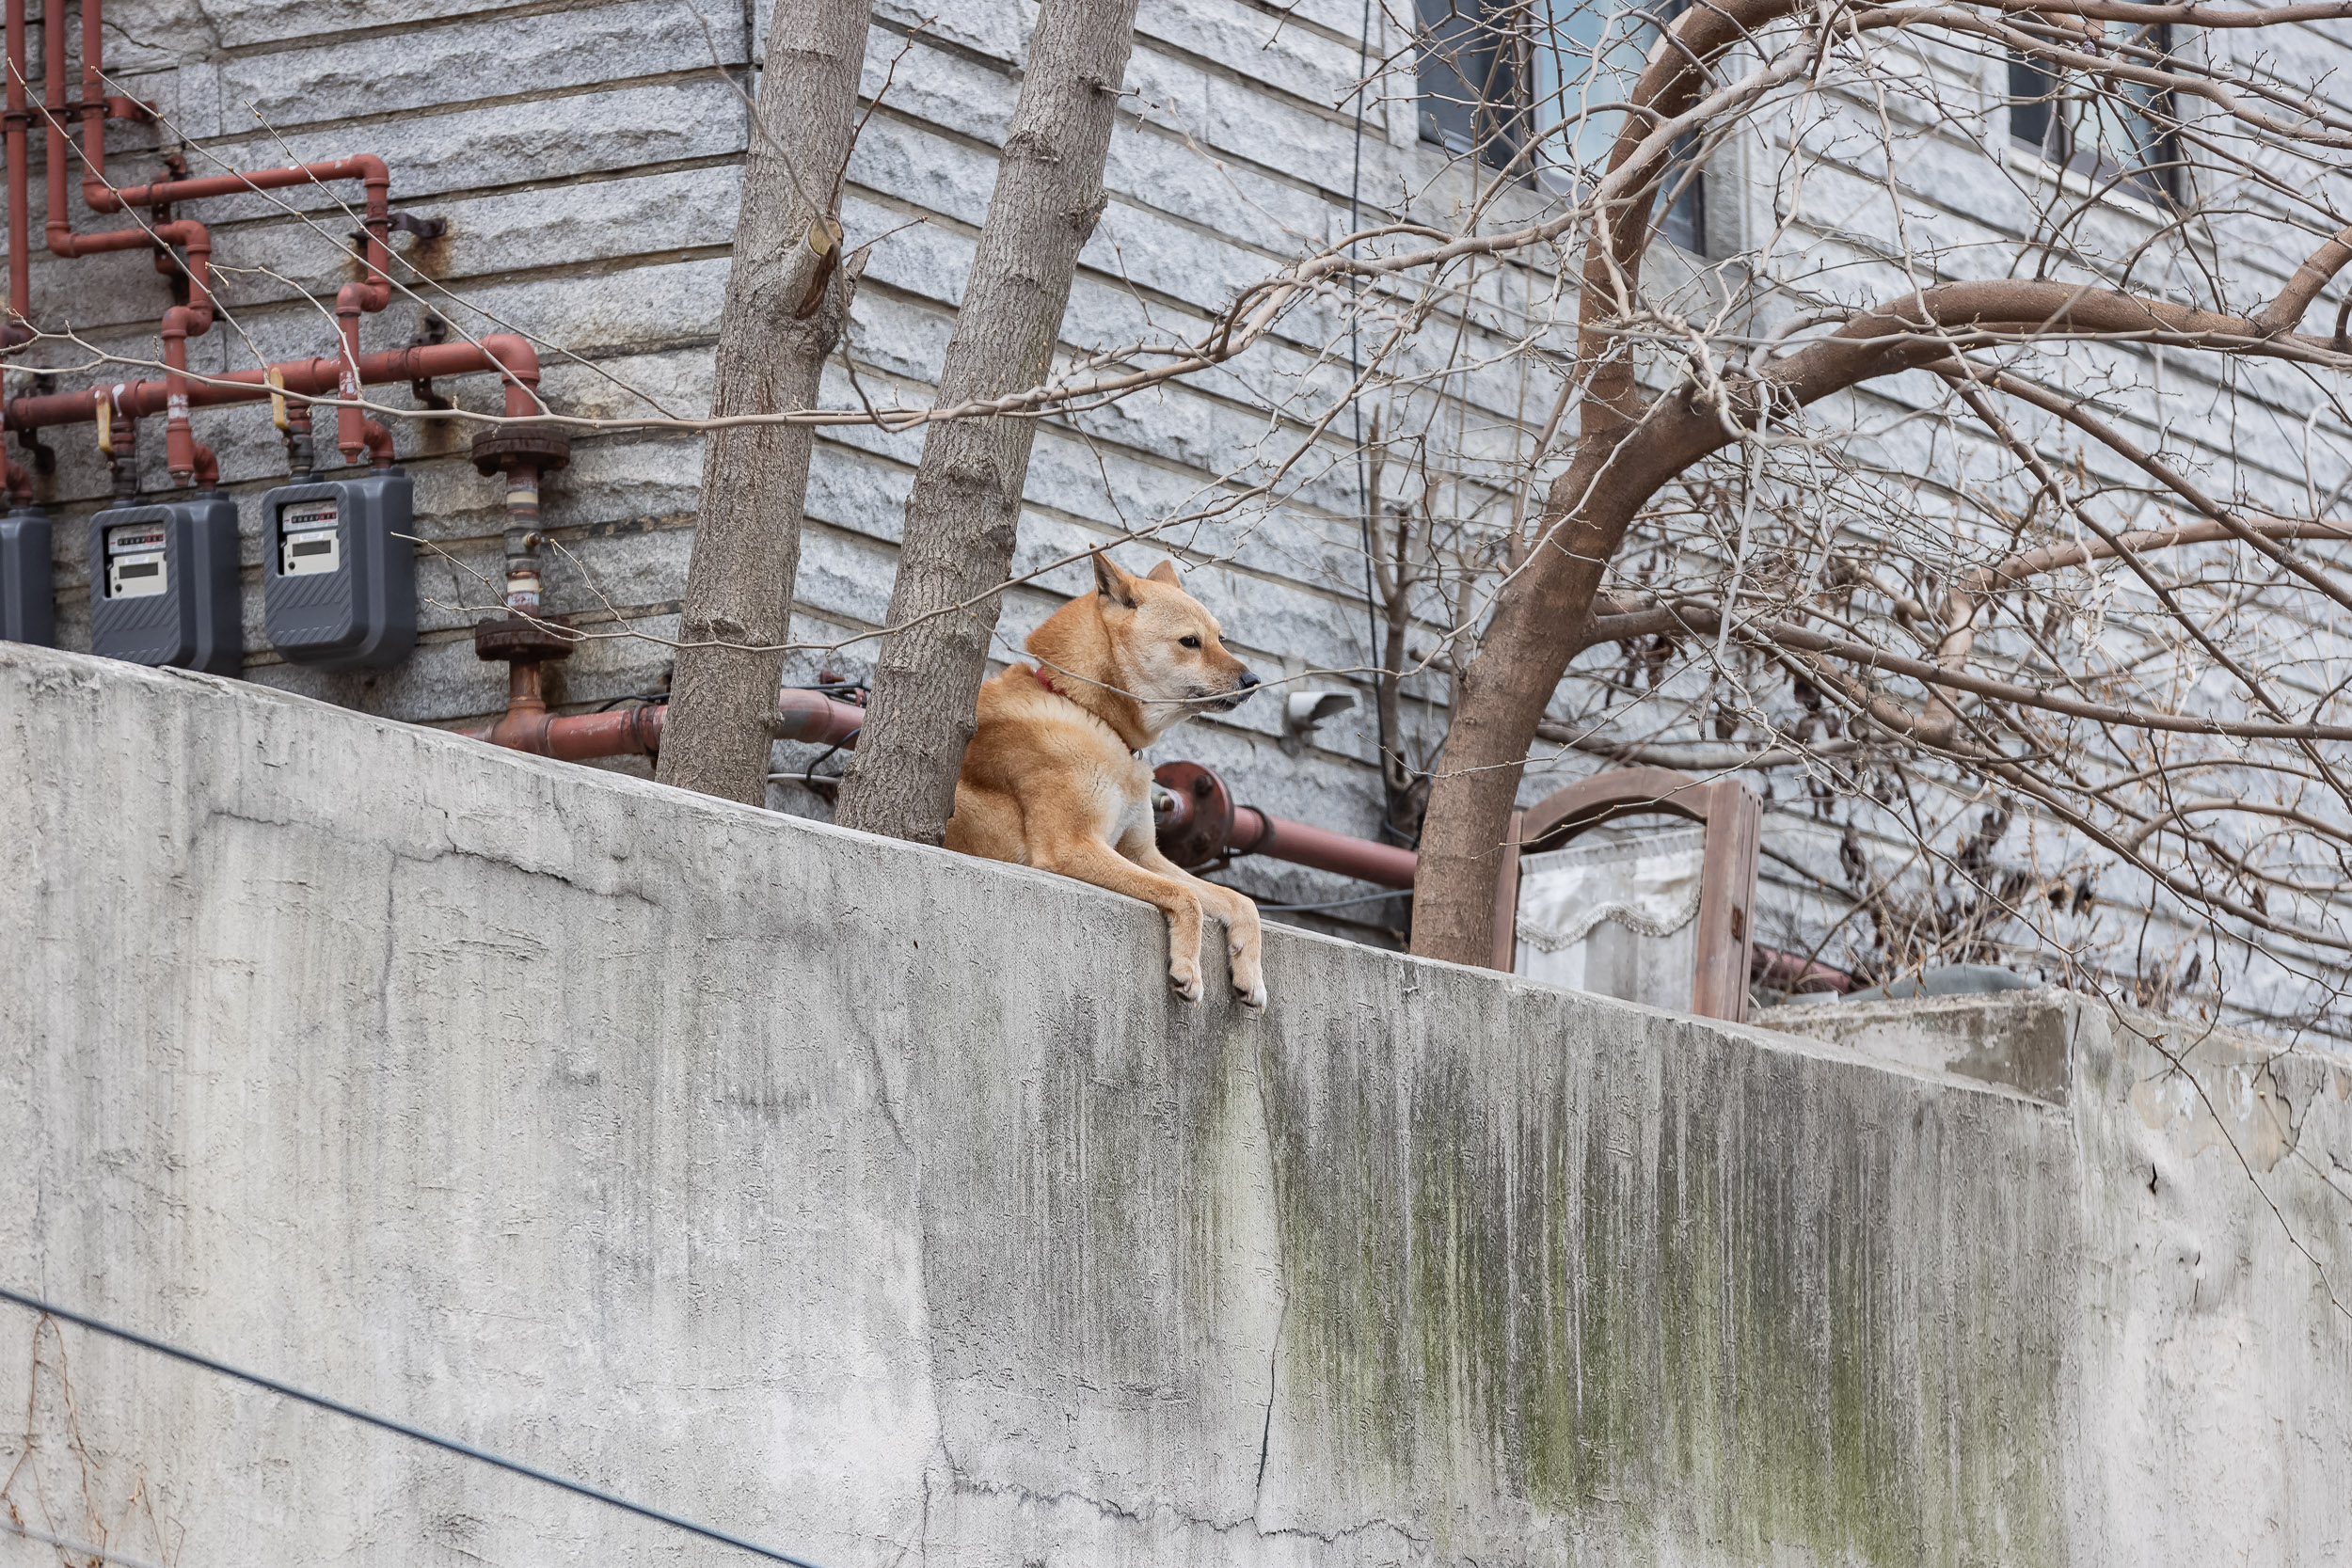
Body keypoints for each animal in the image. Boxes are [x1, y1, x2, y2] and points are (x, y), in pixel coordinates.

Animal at [941, 552, 1270, 1010]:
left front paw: (1250, 971)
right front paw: (1188, 967)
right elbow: (1187, 899)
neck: (1087, 709)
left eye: (1221, 638)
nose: (1253, 681)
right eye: (1190, 642)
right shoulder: (1074, 847)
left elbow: (1239, 901)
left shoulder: (1142, 854)